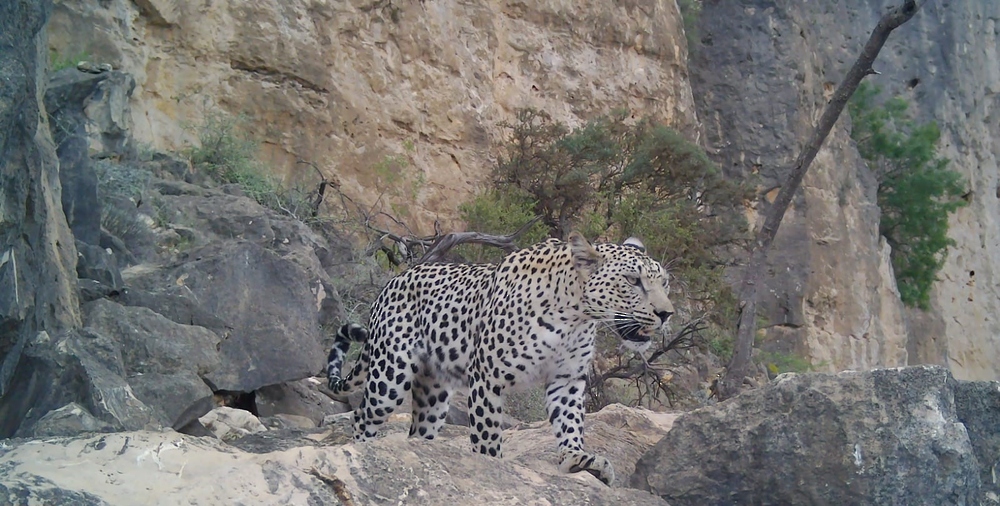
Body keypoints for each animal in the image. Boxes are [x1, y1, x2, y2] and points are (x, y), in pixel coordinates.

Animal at [326, 232, 674, 486]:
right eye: (632, 281)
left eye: (664, 282)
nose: (666, 313)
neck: (576, 316)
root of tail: (391, 283)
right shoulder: (487, 378)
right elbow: (487, 435)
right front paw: (492, 468)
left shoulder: (567, 379)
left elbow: (570, 421)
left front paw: (577, 459)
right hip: (390, 375)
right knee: (363, 416)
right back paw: (365, 453)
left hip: (434, 392)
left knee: (418, 431)